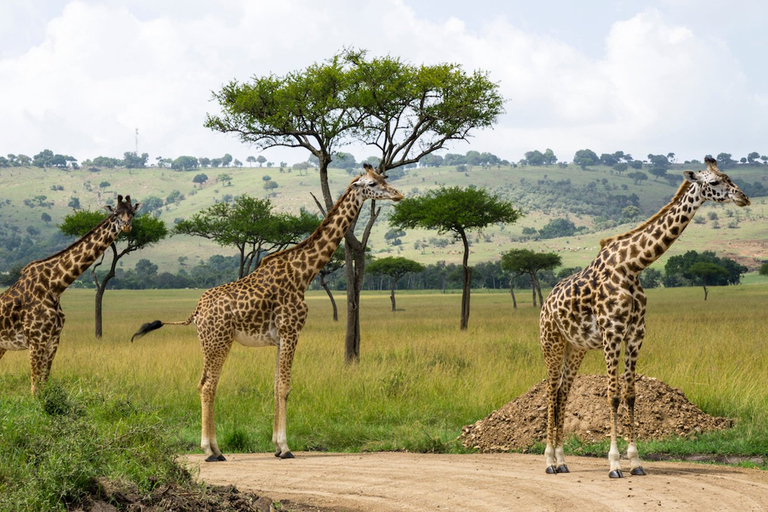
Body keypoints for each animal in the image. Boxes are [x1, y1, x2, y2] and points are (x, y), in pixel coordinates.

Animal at [0, 195, 142, 392]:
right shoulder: (36, 340)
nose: (127, 225)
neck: (55, 286)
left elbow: (44, 383)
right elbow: (35, 389)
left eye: (132, 213)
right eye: (115, 213)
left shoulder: (53, 340)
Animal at [130, 166, 402, 462]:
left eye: (385, 178)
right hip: (218, 341)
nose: (398, 194)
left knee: (202, 382)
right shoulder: (291, 330)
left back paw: (216, 449)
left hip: (207, 343)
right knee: (208, 385)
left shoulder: (280, 337)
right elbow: (285, 386)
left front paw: (276, 446)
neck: (304, 273)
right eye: (373, 183)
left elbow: (275, 385)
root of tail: (197, 310)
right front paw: (285, 447)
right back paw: (211, 451)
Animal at [540, 158, 752, 478]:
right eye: (715, 182)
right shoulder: (612, 332)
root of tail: (545, 305)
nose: (744, 198)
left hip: (575, 347)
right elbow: (612, 395)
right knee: (551, 392)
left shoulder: (636, 333)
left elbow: (630, 394)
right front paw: (614, 463)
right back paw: (549, 461)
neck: (633, 266)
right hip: (551, 342)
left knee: (564, 391)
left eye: (729, 177)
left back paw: (563, 461)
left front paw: (636, 461)